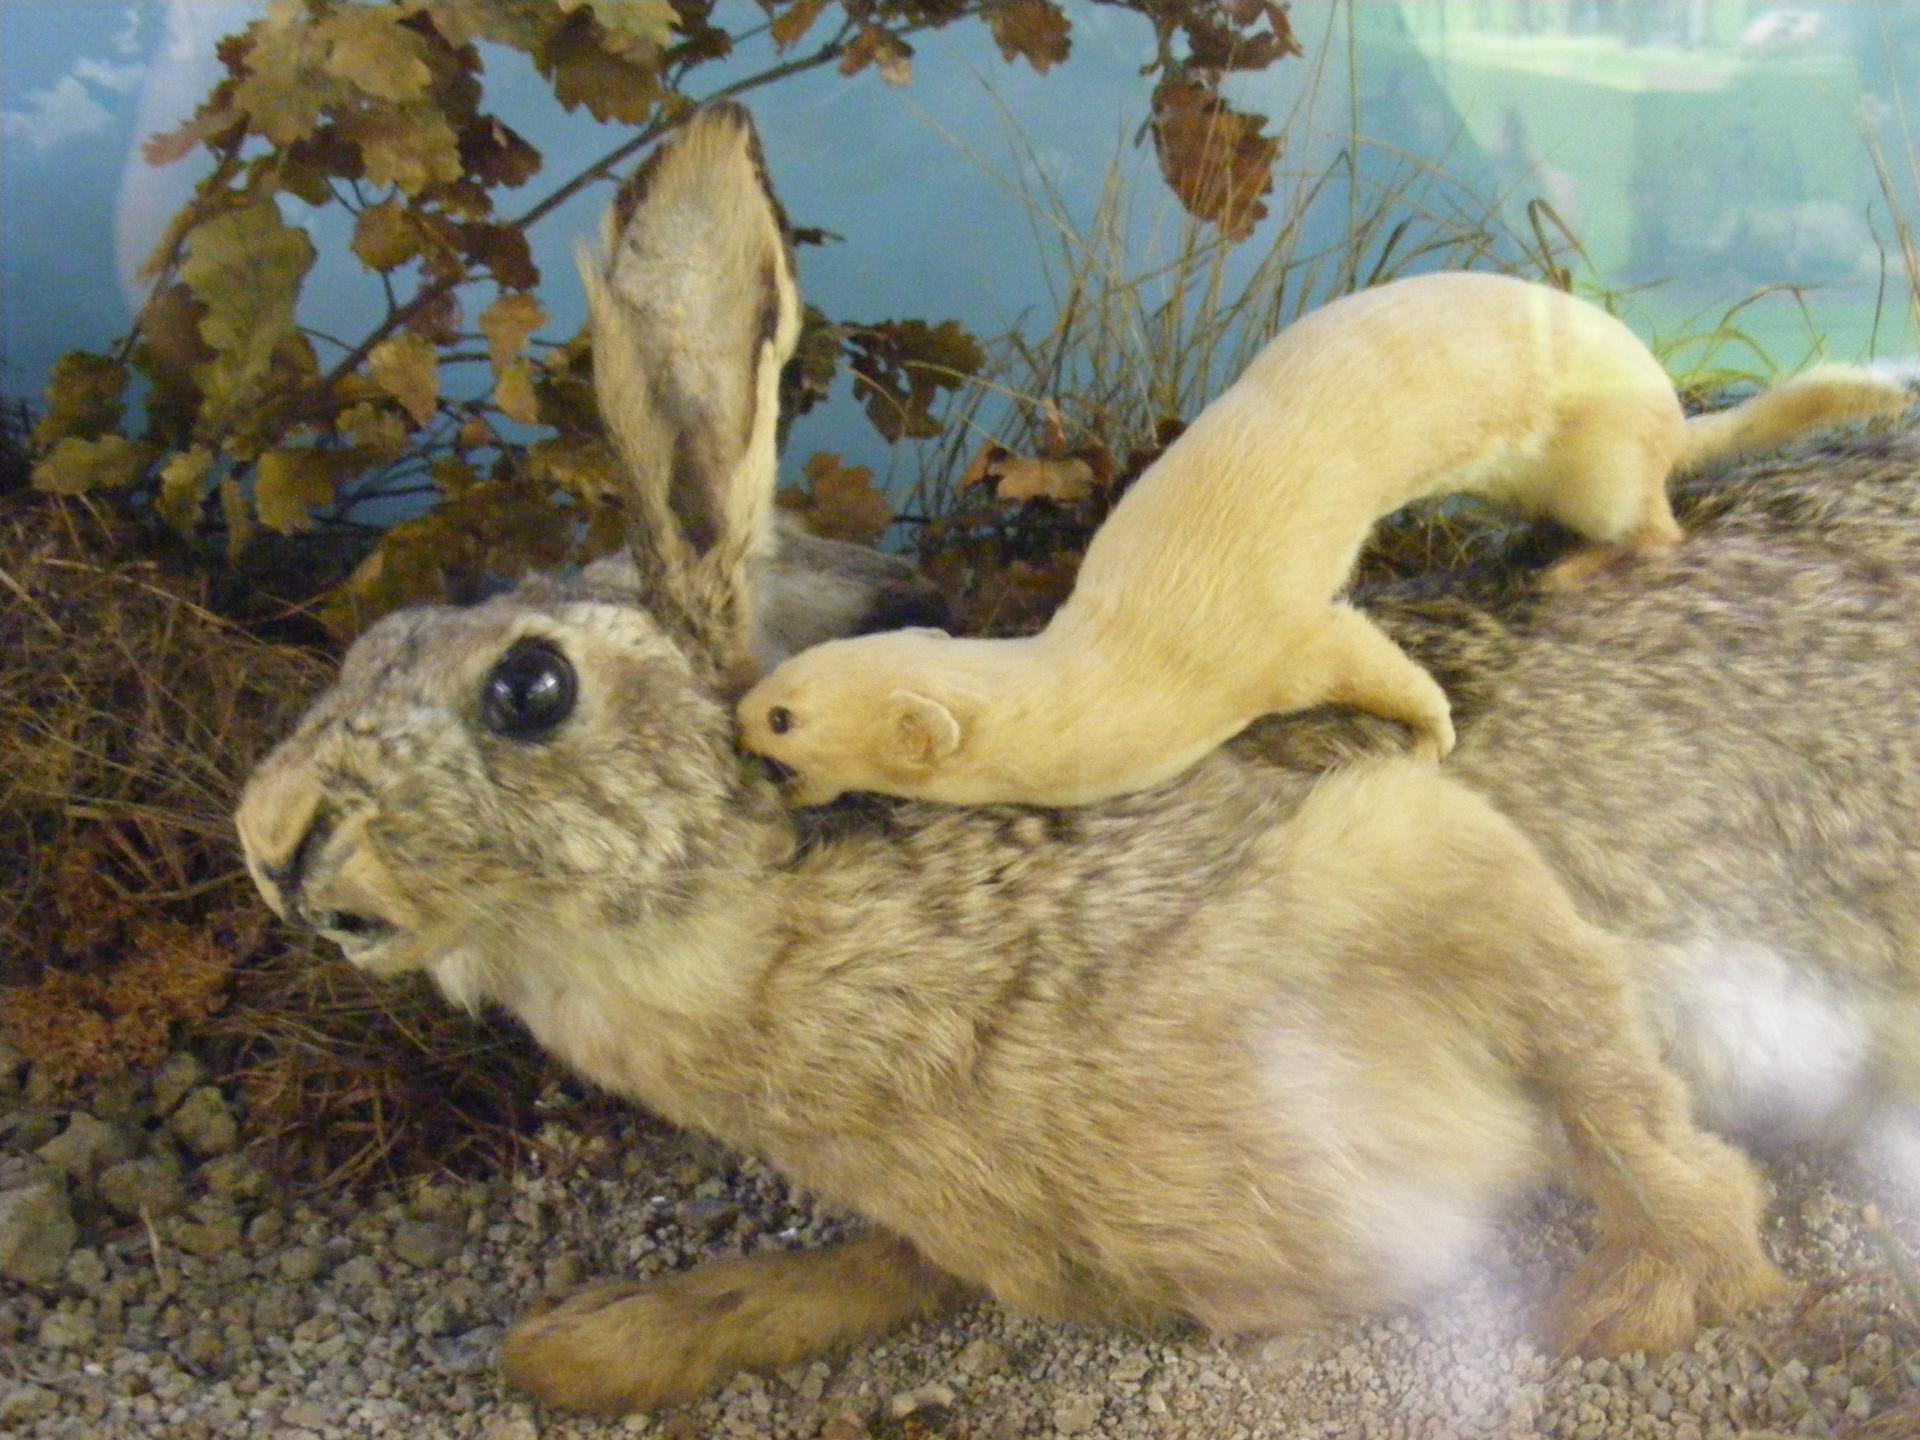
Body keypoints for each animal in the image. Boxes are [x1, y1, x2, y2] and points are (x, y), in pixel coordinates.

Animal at [735, 273, 1908, 806]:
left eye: (788, 715)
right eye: (796, 664)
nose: (737, 710)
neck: (1121, 658)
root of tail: (1668, 400)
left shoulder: (1285, 642)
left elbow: (1373, 661)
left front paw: (1434, 737)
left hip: (1603, 467)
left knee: (1656, 522)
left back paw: (1580, 566)